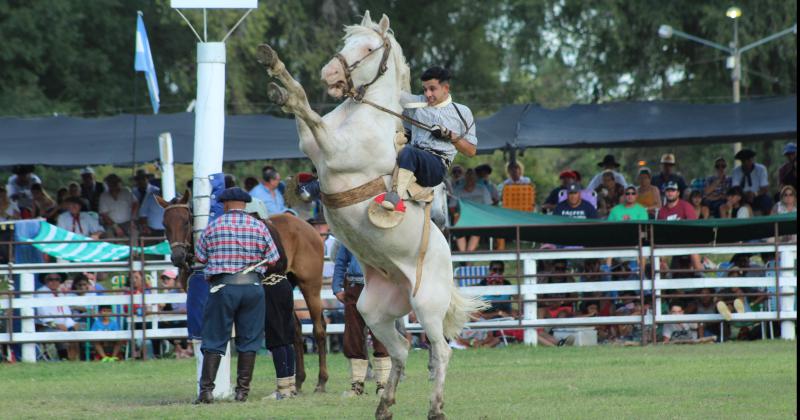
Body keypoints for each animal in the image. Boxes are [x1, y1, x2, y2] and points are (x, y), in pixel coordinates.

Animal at [156, 192, 328, 392]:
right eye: (165, 223)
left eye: (185, 221)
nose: (177, 257)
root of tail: (309, 229)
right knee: (295, 331)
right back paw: (298, 381)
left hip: (311, 286)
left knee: (319, 330)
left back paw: (321, 381)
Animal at [256, 10, 484, 420]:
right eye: (345, 43)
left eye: (367, 48)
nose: (330, 74)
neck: (361, 114)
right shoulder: (312, 143)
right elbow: (302, 109)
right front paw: (275, 71)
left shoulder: (336, 149)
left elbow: (305, 107)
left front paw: (282, 86)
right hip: (374, 310)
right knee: (400, 349)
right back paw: (384, 404)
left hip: (427, 304)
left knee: (440, 351)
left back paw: (435, 408)